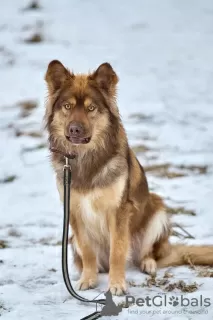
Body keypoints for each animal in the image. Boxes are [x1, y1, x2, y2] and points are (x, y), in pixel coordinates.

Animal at [44, 60, 213, 296]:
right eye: (67, 107)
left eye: (91, 108)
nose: (75, 129)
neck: (85, 156)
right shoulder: (74, 212)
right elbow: (87, 250)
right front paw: (88, 279)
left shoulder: (119, 211)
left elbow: (117, 250)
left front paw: (116, 285)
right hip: (72, 238)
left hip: (157, 210)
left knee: (148, 252)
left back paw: (147, 263)